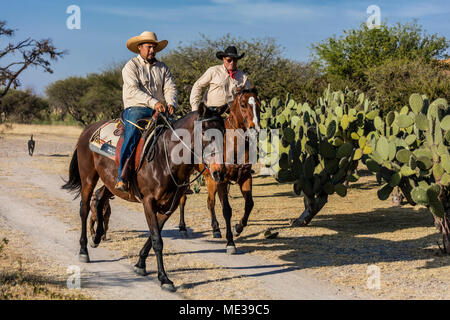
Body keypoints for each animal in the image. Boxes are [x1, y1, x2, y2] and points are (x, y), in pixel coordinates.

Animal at [61, 105, 227, 292]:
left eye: (223, 131)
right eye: (205, 131)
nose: (219, 172)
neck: (166, 158)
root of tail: (88, 129)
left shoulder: (170, 206)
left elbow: (154, 234)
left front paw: (140, 264)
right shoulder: (149, 202)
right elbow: (157, 240)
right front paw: (164, 278)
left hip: (111, 184)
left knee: (99, 199)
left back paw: (97, 238)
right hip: (88, 178)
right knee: (84, 209)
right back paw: (83, 250)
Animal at [179, 87, 262, 242]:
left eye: (259, 105)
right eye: (243, 105)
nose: (255, 128)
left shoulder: (245, 177)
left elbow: (249, 204)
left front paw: (238, 227)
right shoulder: (222, 180)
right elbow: (226, 209)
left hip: (209, 179)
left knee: (209, 202)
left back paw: (215, 228)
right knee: (184, 199)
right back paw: (183, 227)